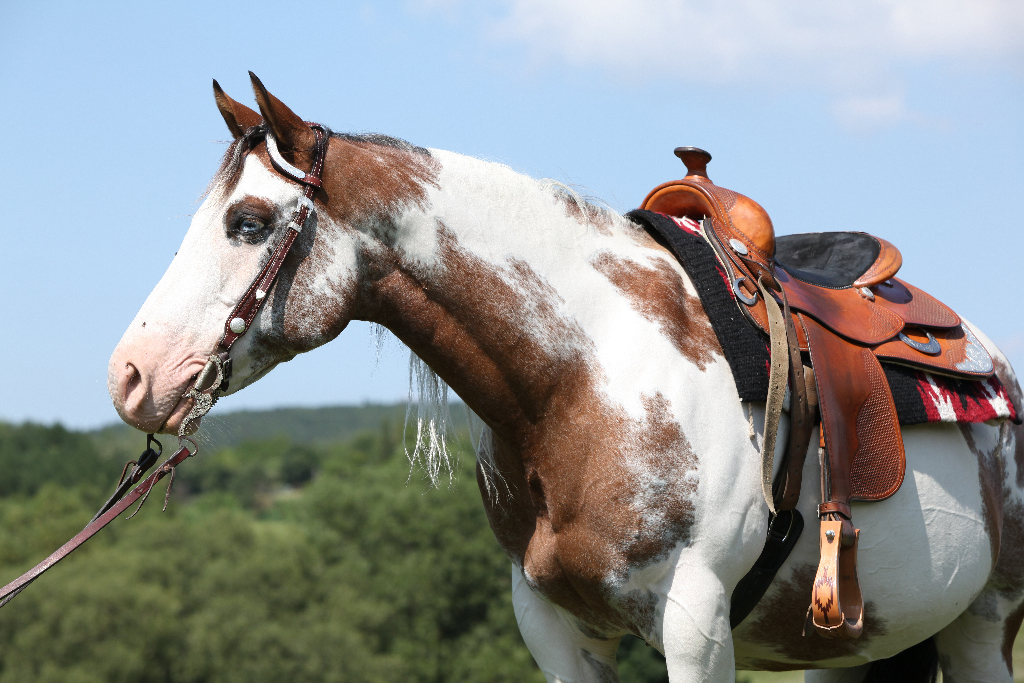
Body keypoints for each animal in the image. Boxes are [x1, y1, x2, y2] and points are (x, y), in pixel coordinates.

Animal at [105, 72, 1024, 679]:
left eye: (249, 222)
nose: (130, 375)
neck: (584, 382)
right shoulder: (554, 628)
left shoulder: (695, 624)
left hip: (986, 623)